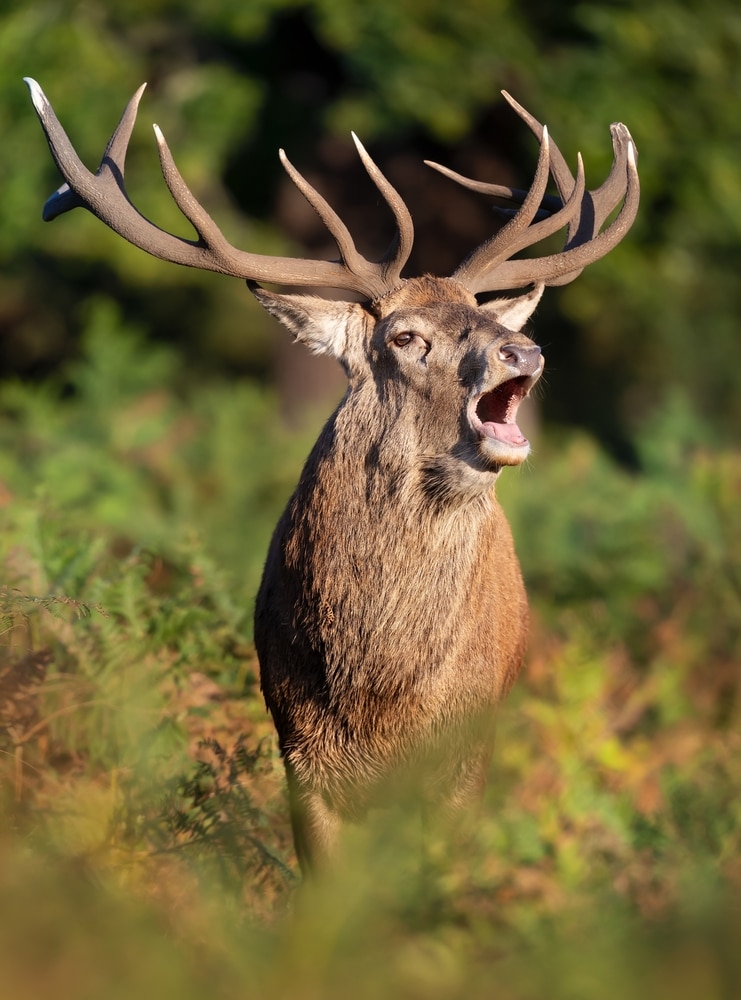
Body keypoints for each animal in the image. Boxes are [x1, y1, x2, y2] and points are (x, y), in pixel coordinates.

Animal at [24, 78, 636, 872]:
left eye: (489, 318)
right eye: (405, 337)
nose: (522, 349)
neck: (378, 696)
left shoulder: (464, 753)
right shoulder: (296, 745)